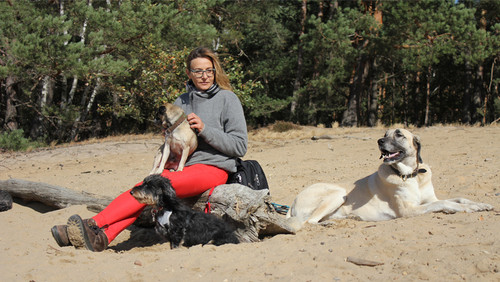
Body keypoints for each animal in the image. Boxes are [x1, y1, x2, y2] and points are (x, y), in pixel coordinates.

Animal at [288, 129, 494, 230]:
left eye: (399, 134)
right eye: (384, 135)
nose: (379, 141)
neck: (412, 176)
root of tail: (292, 202)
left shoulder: (430, 199)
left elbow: (457, 198)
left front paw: (479, 205)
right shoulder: (408, 210)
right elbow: (444, 203)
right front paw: (465, 209)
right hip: (338, 194)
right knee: (308, 222)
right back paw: (328, 224)